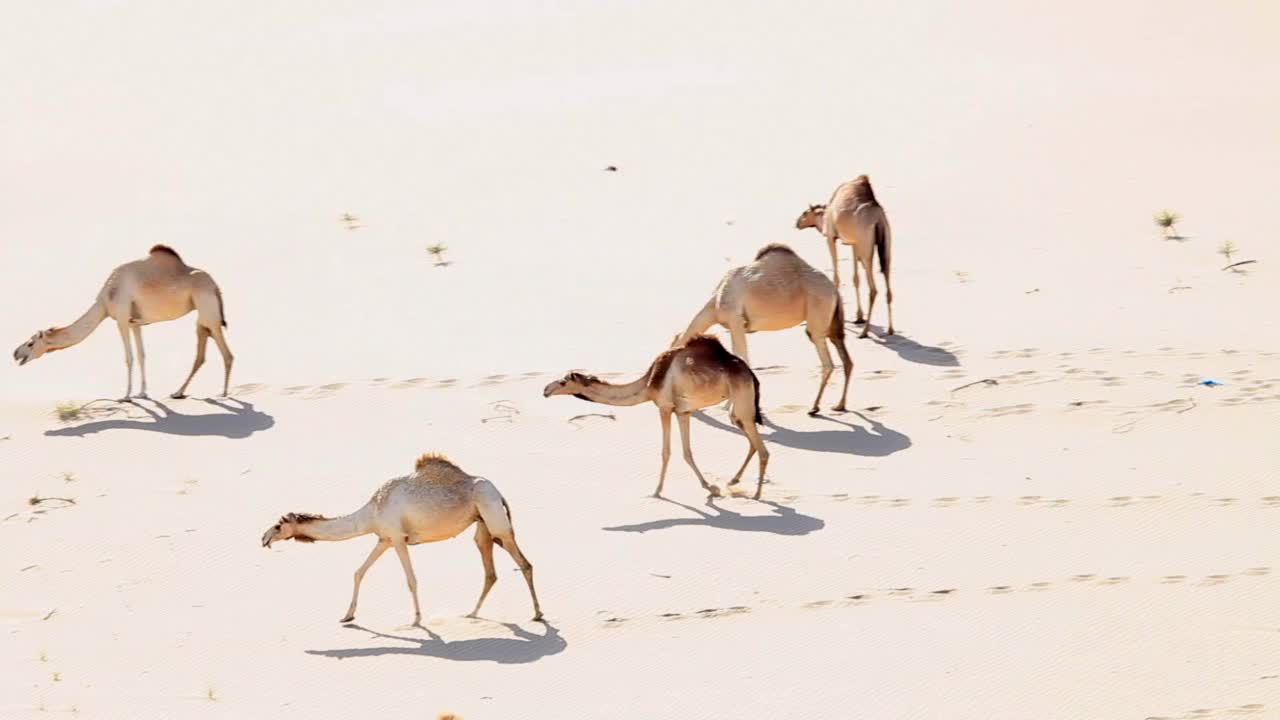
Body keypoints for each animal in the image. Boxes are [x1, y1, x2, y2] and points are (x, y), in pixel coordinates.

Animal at [11, 242, 232, 397]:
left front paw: (126, 395)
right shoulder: (135, 323)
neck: (105, 300)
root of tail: (216, 286)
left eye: (30, 343)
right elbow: (142, 356)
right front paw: (142, 392)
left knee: (226, 353)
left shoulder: (121, 319)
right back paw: (179, 392)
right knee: (202, 353)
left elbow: (129, 357)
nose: (14, 353)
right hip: (203, 317)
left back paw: (222, 393)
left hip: (208, 311)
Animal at [259, 448, 540, 622]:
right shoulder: (383, 539)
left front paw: (416, 620)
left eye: (277, 526)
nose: (263, 538)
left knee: (524, 563)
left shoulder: (397, 538)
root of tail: (499, 492)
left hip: (495, 519)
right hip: (482, 525)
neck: (372, 511)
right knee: (490, 570)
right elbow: (359, 572)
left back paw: (537, 614)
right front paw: (347, 616)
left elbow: (411, 580)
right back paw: (472, 613)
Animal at [542, 333, 768, 497]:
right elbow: (687, 452)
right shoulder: (683, 411)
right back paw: (734, 480)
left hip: (742, 399)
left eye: (563, 382)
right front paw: (709, 487)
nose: (545, 390)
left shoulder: (664, 407)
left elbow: (666, 452)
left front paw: (657, 491)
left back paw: (757, 495)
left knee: (762, 449)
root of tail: (751, 374)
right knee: (751, 441)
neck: (649, 384)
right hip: (737, 410)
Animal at [670, 242, 849, 415]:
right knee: (845, 358)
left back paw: (814, 407)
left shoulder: (735, 320)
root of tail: (835, 290)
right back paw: (838, 405)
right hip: (832, 323)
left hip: (817, 318)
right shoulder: (738, 325)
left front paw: (728, 406)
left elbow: (740, 356)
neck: (715, 304)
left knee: (827, 362)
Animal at [793, 174, 896, 335]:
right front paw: (859, 316)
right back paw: (890, 329)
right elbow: (856, 279)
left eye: (804, 213)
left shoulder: (830, 237)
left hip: (866, 247)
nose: (797, 223)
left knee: (873, 288)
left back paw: (864, 332)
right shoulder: (854, 243)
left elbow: (836, 277)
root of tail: (878, 219)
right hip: (886, 243)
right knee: (887, 279)